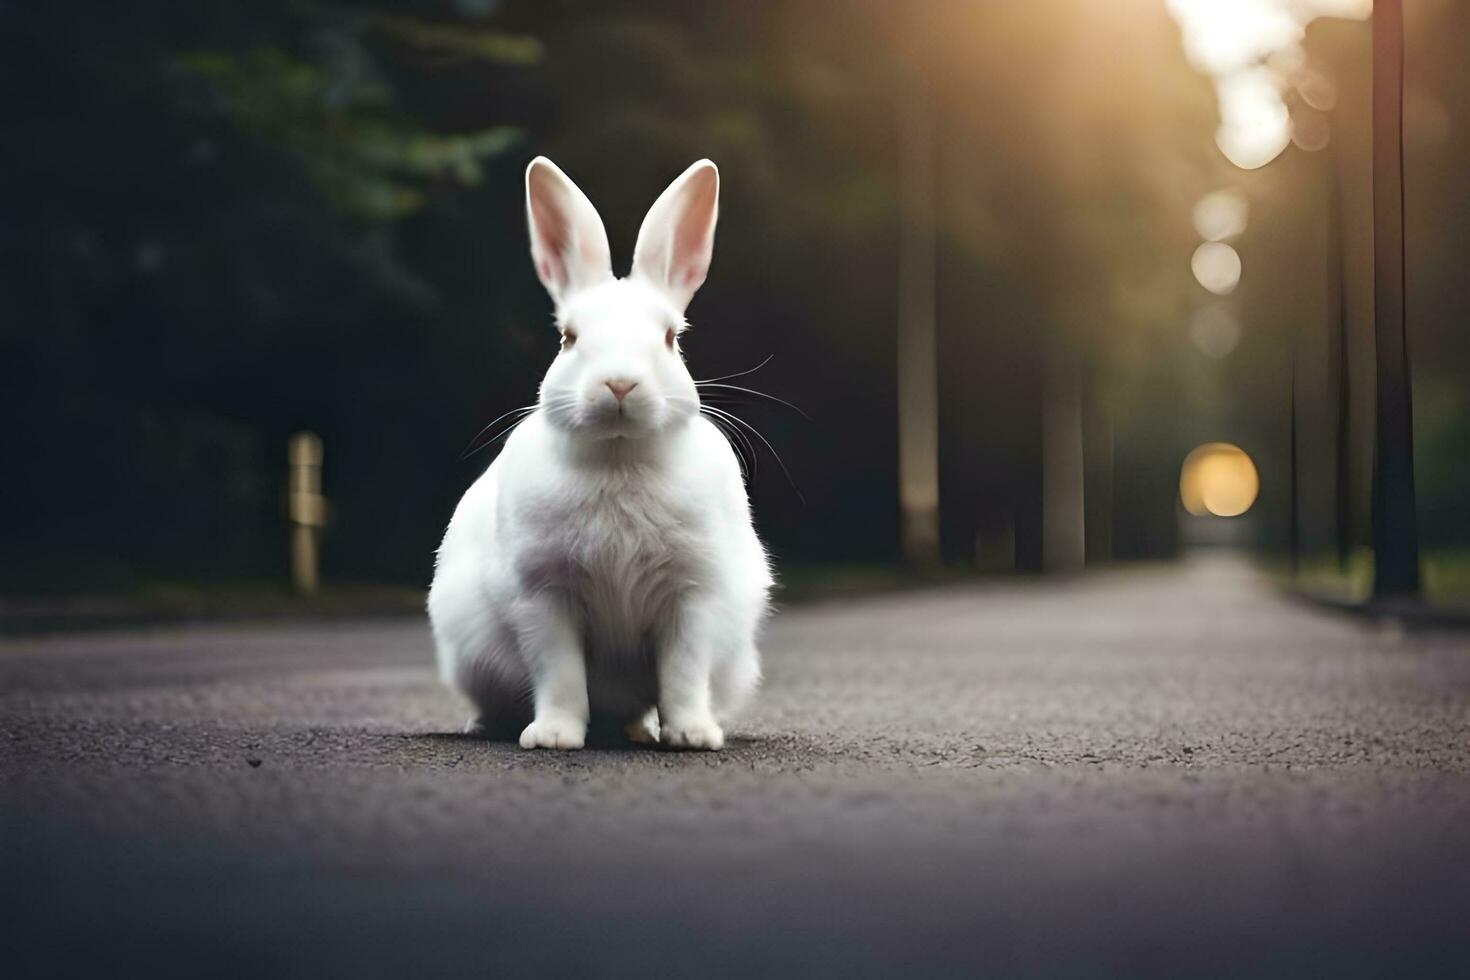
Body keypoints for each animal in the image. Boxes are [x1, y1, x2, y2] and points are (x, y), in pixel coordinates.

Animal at [426, 155, 770, 752]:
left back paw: (641, 731)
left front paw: (692, 735)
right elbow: (560, 674)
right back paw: (483, 725)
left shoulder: (693, 595)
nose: (619, 384)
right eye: (568, 337)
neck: (619, 456)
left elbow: (682, 673)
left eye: (671, 338)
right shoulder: (544, 595)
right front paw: (553, 737)